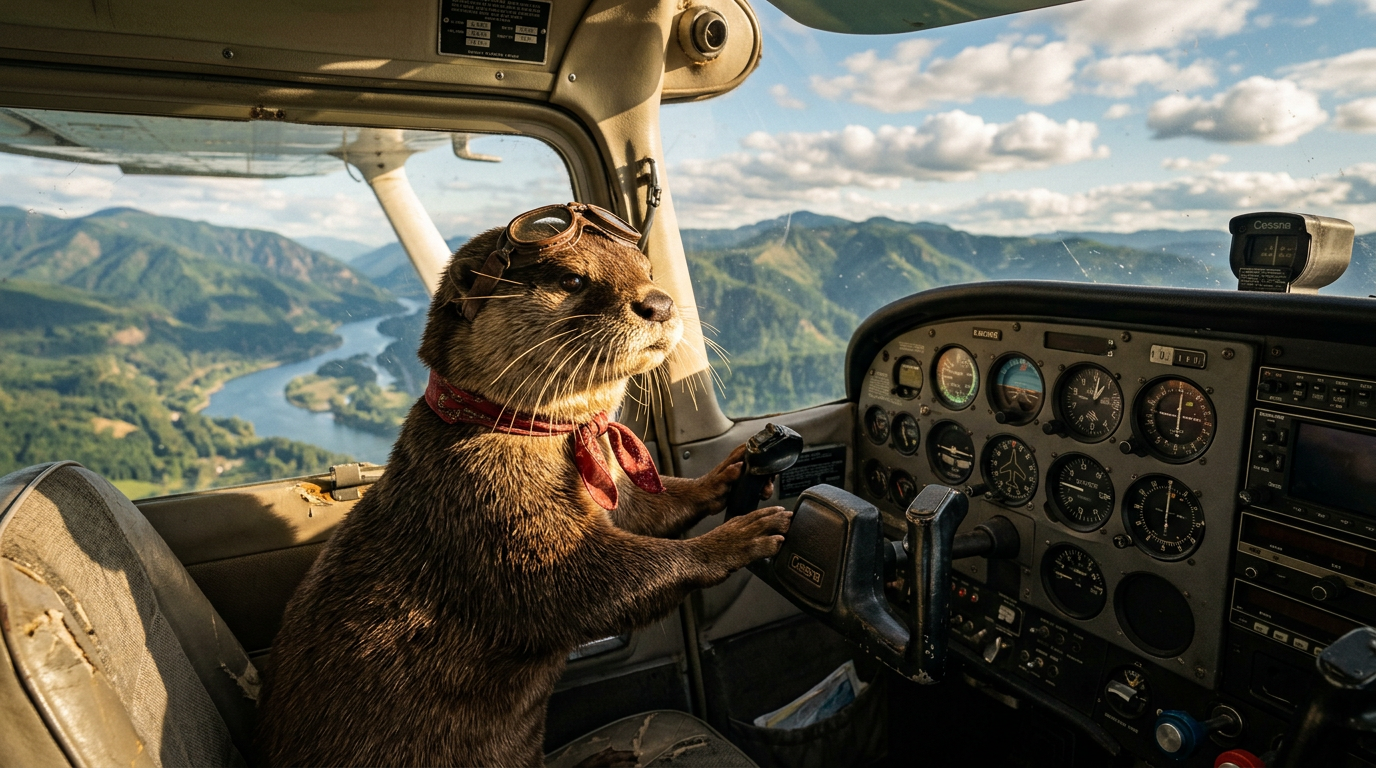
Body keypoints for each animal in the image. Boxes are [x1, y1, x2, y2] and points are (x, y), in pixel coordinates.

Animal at [257, 204, 792, 767]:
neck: (505, 435)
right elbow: (591, 585)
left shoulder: (614, 491)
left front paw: (731, 472)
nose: (661, 302)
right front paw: (740, 536)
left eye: (648, 270)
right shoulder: (485, 505)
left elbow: (652, 506)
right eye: (572, 279)